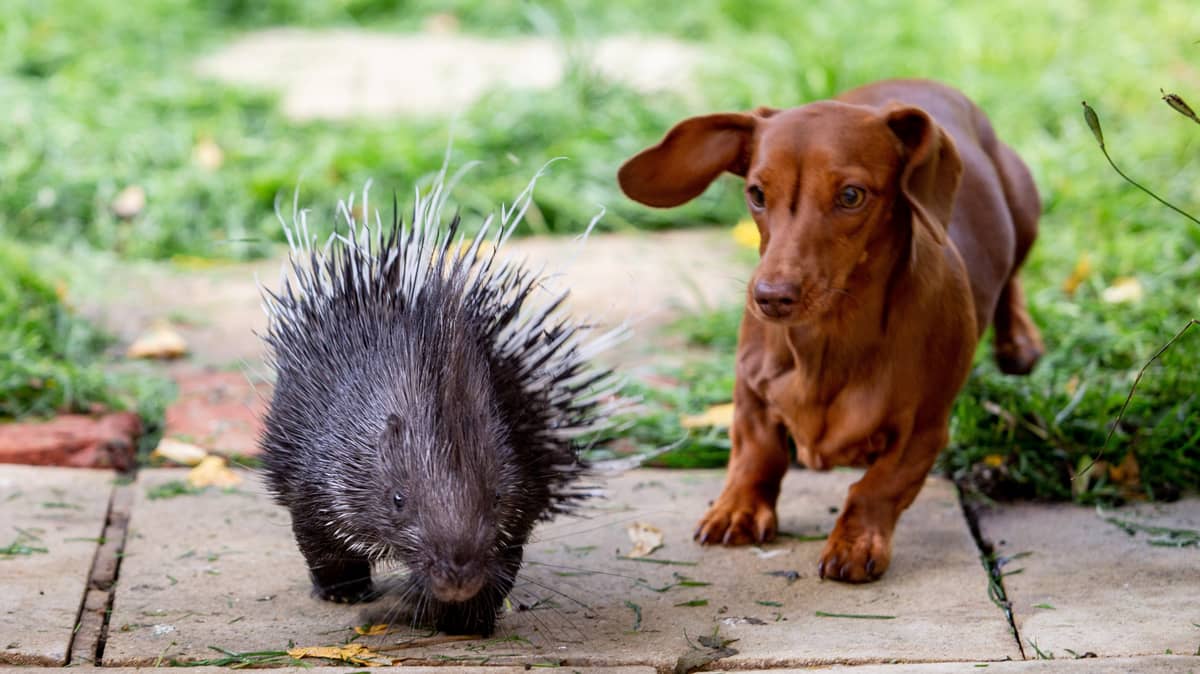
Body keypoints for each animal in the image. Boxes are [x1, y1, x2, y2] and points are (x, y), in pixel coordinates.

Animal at [619, 78, 1041, 580]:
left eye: (851, 196)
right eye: (756, 193)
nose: (770, 297)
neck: (827, 338)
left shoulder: (925, 430)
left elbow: (877, 485)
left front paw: (854, 542)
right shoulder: (749, 393)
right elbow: (756, 452)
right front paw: (737, 509)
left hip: (1024, 211)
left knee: (1013, 272)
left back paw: (1019, 342)